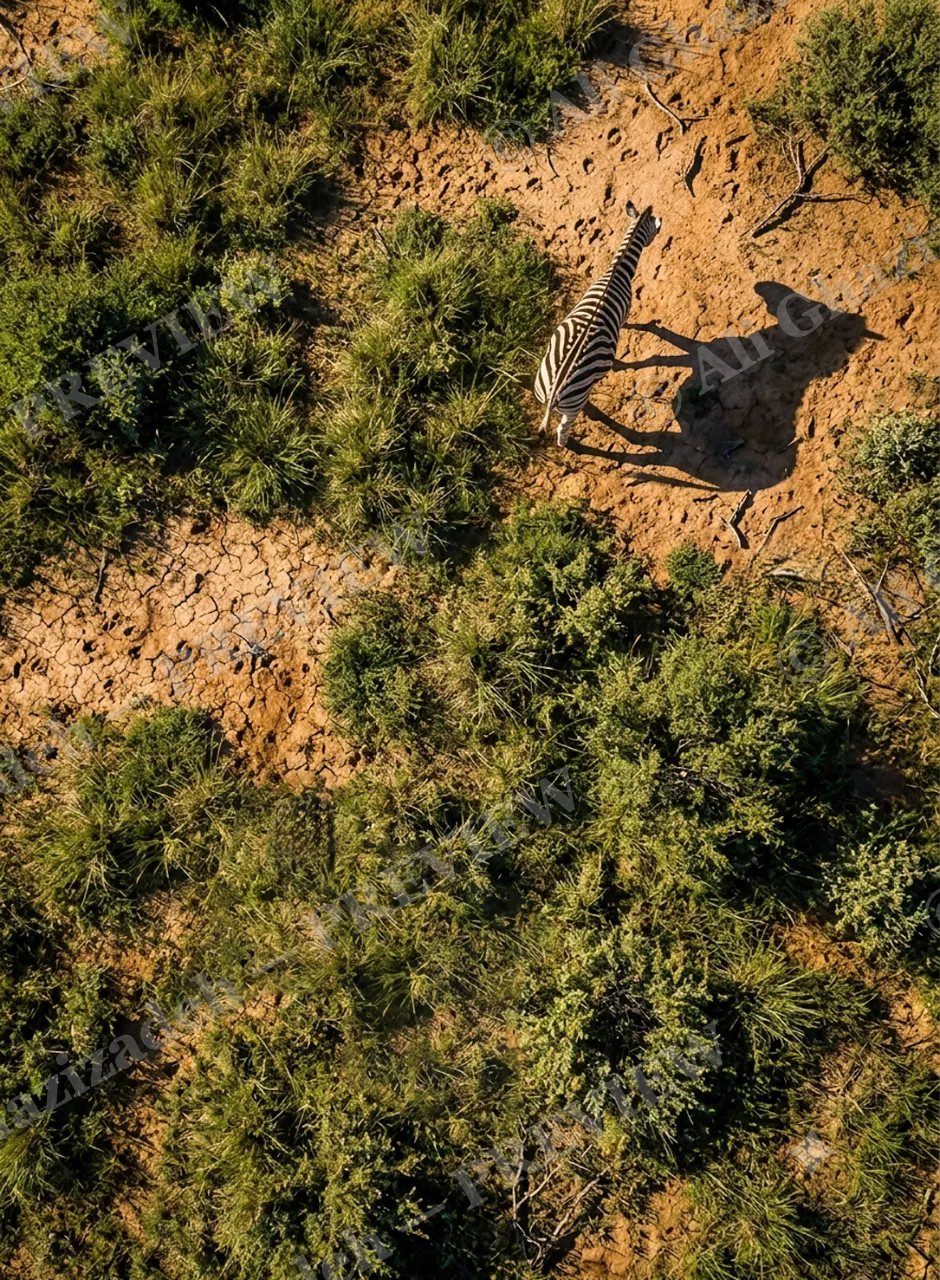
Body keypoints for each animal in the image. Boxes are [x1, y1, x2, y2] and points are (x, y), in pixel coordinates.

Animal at [534, 201, 662, 447]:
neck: (617, 270)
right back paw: (569, 444)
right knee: (563, 429)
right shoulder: (626, 310)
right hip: (574, 401)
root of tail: (554, 394)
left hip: (543, 384)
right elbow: (628, 327)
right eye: (654, 228)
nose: (662, 222)